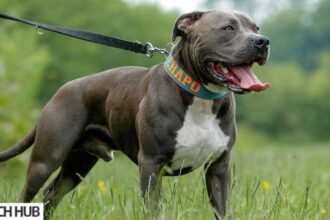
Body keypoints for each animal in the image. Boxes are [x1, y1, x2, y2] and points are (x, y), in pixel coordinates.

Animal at [0, 9, 270, 218]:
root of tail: (60, 91)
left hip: (78, 164)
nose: (263, 41)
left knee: (51, 194)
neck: (200, 96)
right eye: (228, 28)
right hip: (46, 159)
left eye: (255, 27)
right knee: (27, 194)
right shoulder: (151, 164)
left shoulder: (218, 167)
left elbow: (223, 210)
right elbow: (154, 210)